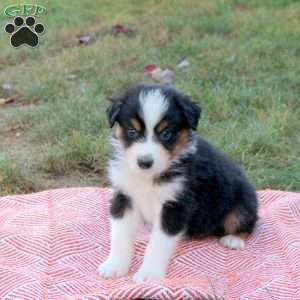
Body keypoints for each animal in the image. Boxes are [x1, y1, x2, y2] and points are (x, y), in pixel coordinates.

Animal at [96, 83, 258, 282]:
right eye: (132, 131)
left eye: (166, 134)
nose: (144, 162)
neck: (148, 177)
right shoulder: (124, 196)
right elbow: (120, 235)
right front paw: (114, 265)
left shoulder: (176, 205)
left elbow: (158, 244)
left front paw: (149, 274)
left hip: (243, 201)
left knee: (247, 222)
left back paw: (233, 239)